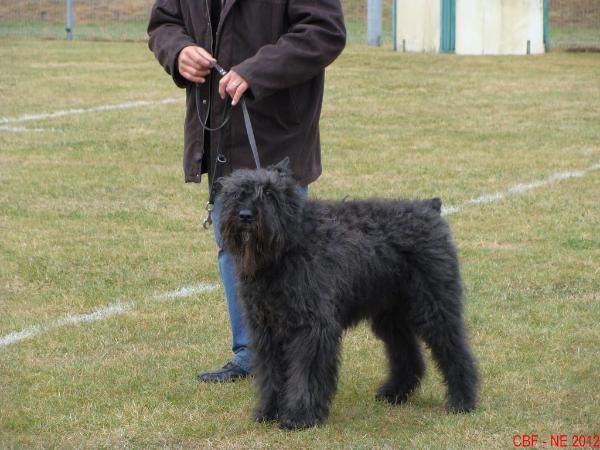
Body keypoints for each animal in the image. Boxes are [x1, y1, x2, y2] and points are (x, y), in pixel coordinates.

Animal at [219, 161, 478, 428]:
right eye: (238, 194)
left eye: (270, 194)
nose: (245, 215)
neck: (289, 245)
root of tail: (430, 207)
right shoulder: (267, 328)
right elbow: (272, 373)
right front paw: (269, 411)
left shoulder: (312, 326)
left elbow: (305, 373)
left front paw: (301, 416)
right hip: (391, 316)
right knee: (407, 353)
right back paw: (394, 392)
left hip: (434, 305)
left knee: (454, 349)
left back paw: (462, 400)